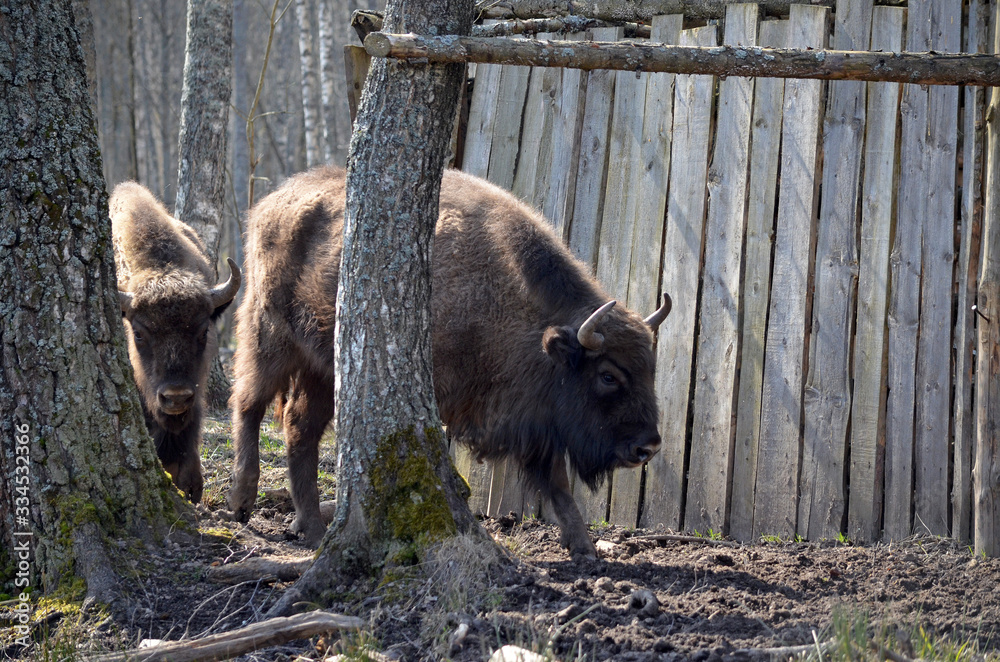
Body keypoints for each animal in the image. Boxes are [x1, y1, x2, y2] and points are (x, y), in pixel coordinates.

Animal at [227, 167, 670, 556]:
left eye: (651, 370)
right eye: (608, 375)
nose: (648, 446)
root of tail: (268, 203)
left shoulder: (536, 423)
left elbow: (558, 486)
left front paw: (585, 549)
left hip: (322, 368)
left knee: (299, 428)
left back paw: (312, 529)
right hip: (269, 335)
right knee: (249, 404)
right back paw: (242, 501)